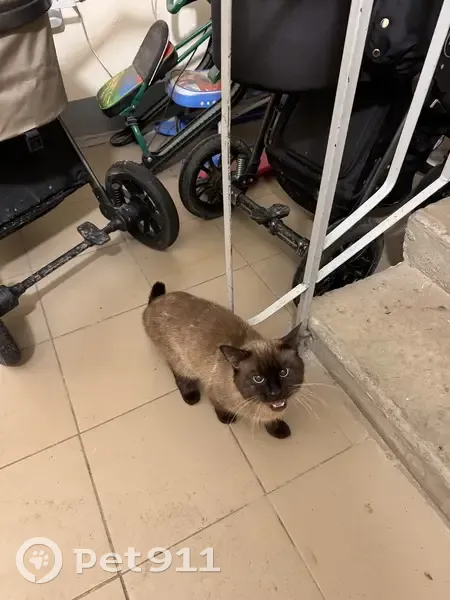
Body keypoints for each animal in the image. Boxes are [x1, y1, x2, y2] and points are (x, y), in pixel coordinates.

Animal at [143, 282, 306, 439]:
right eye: (258, 378)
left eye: (284, 372)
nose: (275, 392)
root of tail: (155, 302)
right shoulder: (213, 391)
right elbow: (219, 406)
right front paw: (226, 418)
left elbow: (272, 419)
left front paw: (277, 429)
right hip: (182, 362)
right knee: (180, 375)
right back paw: (191, 396)